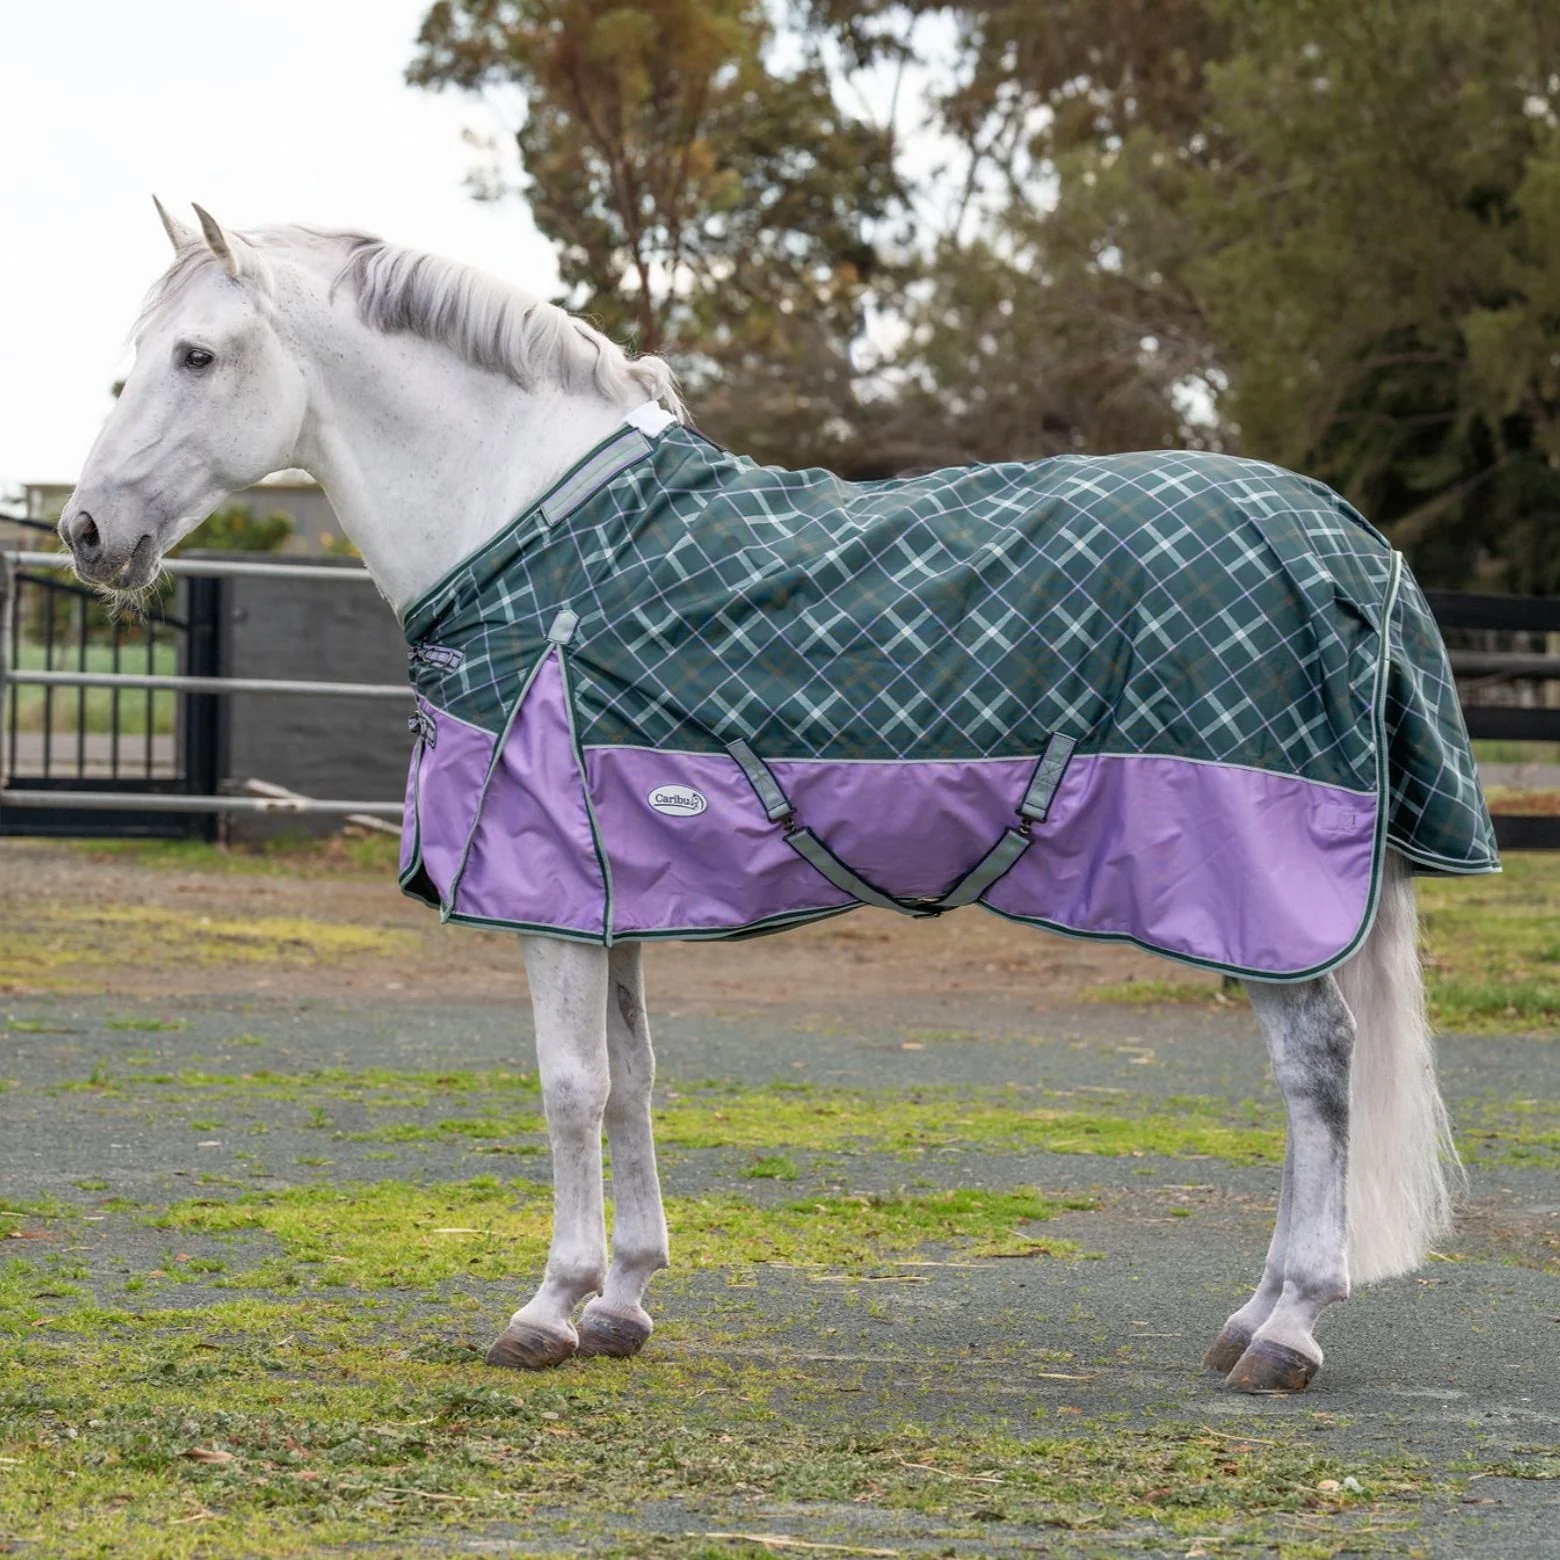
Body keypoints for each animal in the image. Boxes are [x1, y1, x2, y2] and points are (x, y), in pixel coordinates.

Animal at [57, 200, 1497, 1394]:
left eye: (197, 355)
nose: (82, 534)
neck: (537, 550)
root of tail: (1350, 538)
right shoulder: (612, 899)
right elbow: (633, 1083)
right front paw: (623, 1302)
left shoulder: (546, 899)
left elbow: (568, 1089)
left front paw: (547, 1308)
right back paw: (1251, 1317)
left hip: (1265, 901)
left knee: (1319, 1074)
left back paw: (1288, 1329)